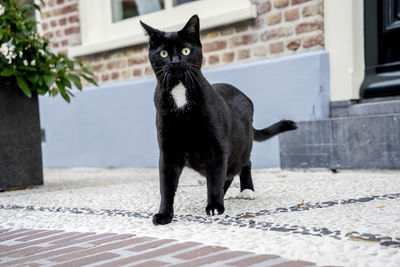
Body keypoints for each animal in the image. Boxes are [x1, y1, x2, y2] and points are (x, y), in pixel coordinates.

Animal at [141, 15, 296, 226]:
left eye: (185, 51)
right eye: (163, 53)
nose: (175, 62)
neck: (180, 93)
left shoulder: (216, 146)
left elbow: (215, 178)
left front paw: (214, 206)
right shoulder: (168, 151)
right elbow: (166, 185)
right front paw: (164, 214)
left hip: (240, 145)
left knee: (243, 164)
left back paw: (246, 190)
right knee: (227, 174)